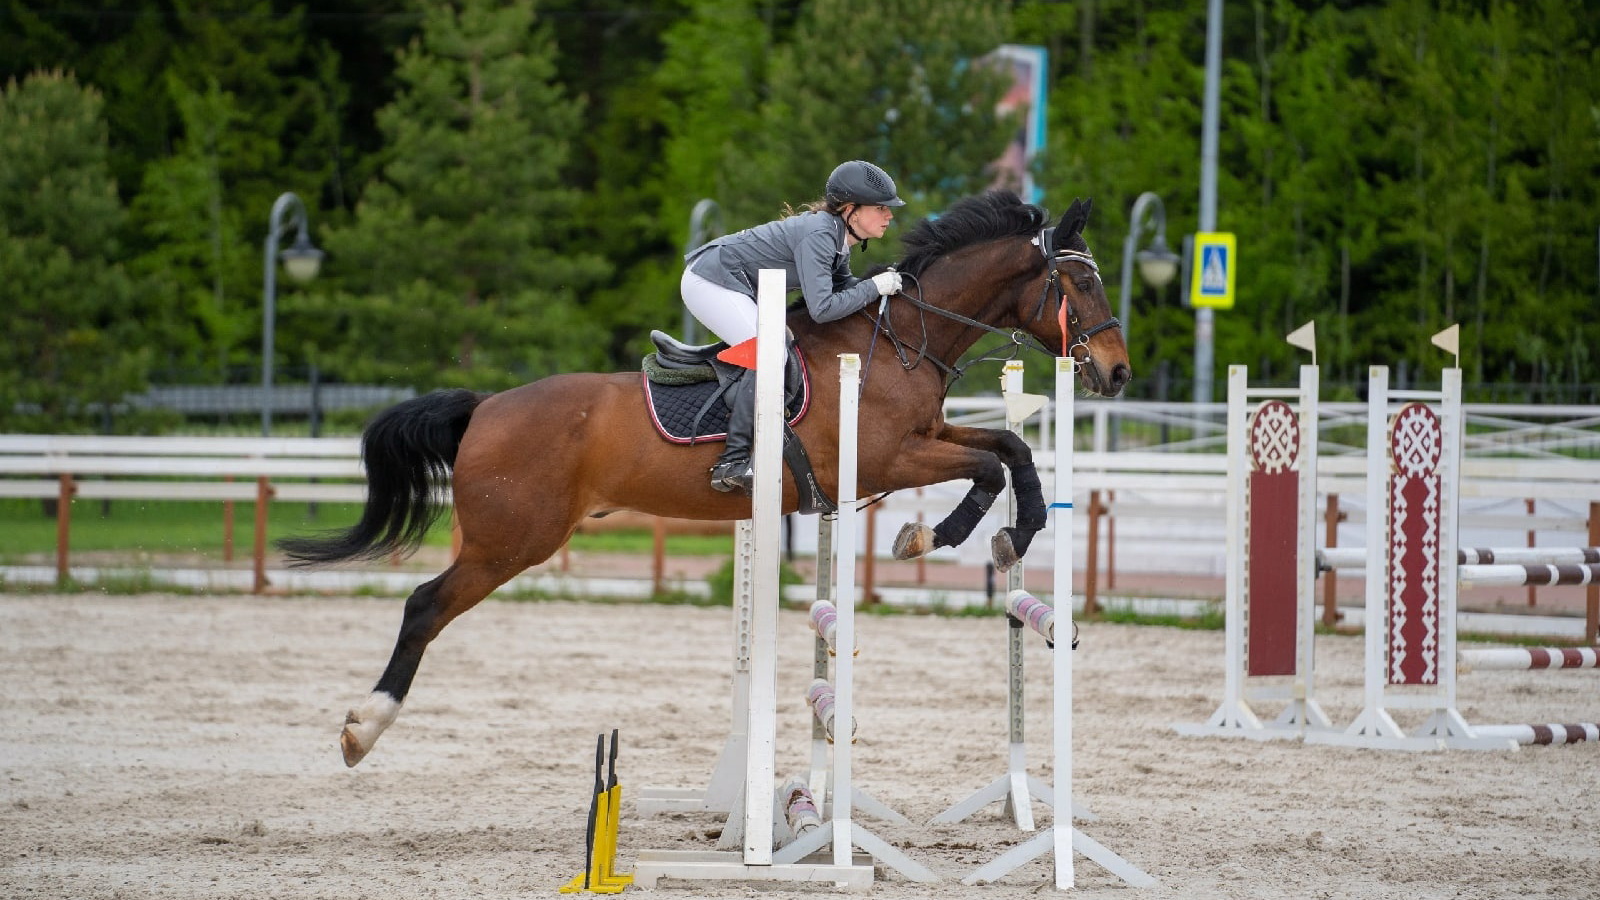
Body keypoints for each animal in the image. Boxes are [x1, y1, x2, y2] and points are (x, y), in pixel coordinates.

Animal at [281, 190, 1132, 762]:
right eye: (1082, 284)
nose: (1118, 373)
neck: (901, 342)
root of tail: (485, 407)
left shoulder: (925, 438)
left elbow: (1010, 450)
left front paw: (1007, 533)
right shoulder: (886, 459)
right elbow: (988, 464)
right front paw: (936, 535)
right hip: (511, 541)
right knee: (425, 605)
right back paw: (363, 729)